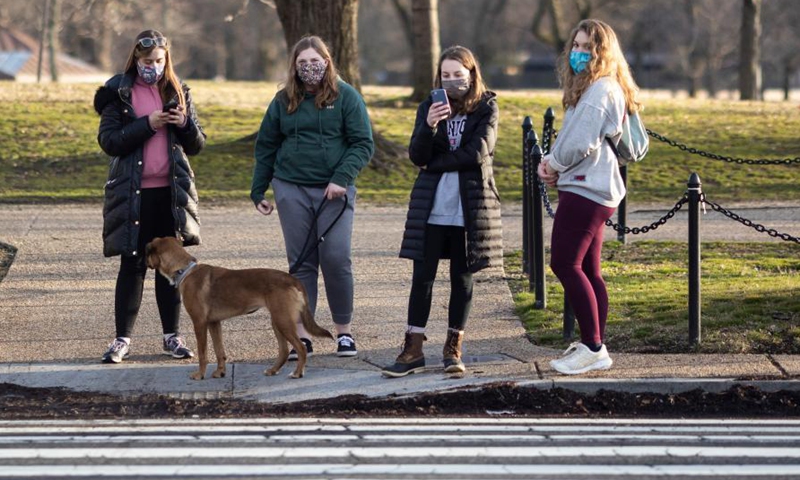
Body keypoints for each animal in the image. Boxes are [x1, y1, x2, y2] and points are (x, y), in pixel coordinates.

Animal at [144, 238, 332, 380]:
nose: (141, 260)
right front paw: (220, 372)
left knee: (301, 348)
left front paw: (200, 374)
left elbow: (203, 353)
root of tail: (293, 280)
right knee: (284, 351)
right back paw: (272, 370)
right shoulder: (214, 323)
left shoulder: (199, 323)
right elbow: (219, 351)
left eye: (147, 252)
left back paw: (297, 373)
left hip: (283, 321)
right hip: (278, 321)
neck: (184, 271)